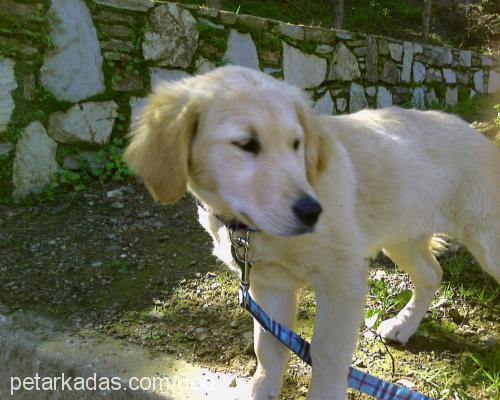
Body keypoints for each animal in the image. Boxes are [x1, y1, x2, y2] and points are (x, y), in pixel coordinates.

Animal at [124, 66, 500, 400]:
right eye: (245, 144)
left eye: (296, 143)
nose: (312, 211)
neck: (252, 229)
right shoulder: (268, 283)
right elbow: (268, 351)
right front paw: (262, 391)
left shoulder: (342, 277)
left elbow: (327, 352)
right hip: (402, 235)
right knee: (431, 273)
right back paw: (404, 325)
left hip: (486, 240)